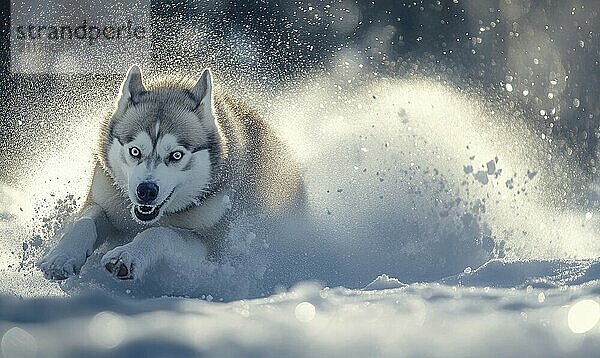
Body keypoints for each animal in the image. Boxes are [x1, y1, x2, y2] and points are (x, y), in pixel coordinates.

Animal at [37, 65, 304, 282]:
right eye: (135, 151)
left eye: (176, 155)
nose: (146, 191)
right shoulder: (103, 200)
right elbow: (84, 222)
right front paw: (61, 257)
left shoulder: (210, 248)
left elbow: (161, 233)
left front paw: (127, 254)